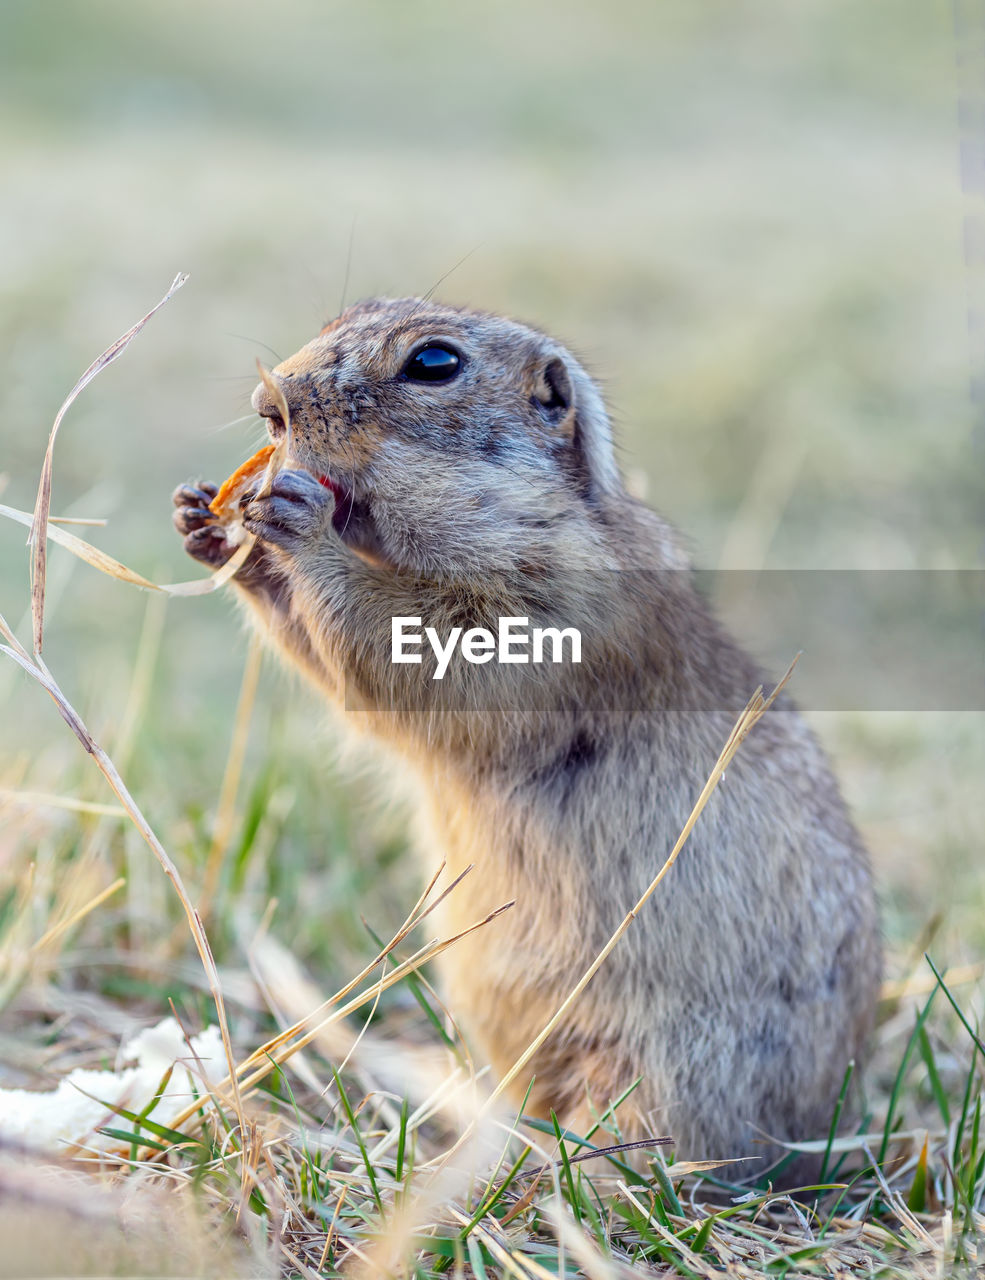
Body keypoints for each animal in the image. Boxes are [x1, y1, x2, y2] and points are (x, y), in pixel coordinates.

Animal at [172, 296, 880, 1172]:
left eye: (433, 363)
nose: (268, 406)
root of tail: (817, 1134)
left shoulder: (559, 594)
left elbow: (431, 648)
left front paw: (296, 525)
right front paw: (205, 518)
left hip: (668, 1067)